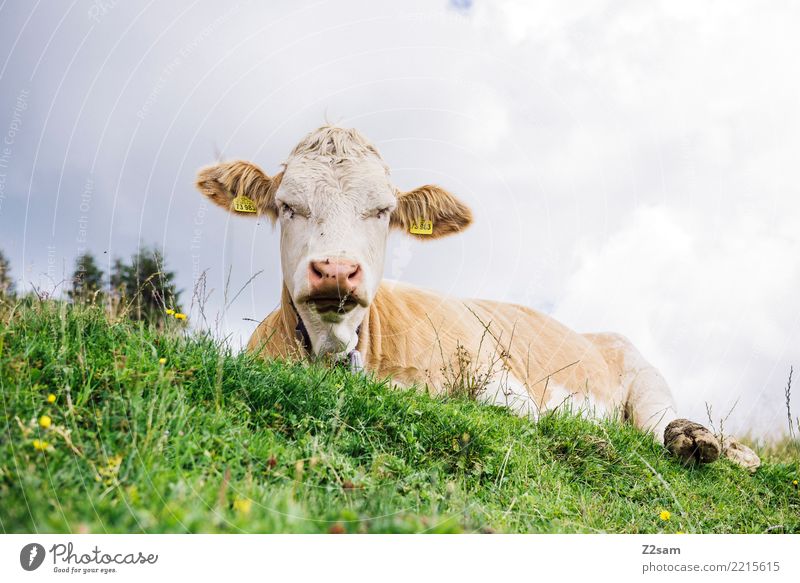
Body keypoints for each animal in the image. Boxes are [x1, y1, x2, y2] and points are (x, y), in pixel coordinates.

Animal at [197, 123, 760, 470]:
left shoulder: (503, 382)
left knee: (658, 426)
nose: (336, 270)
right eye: (288, 206)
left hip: (645, 379)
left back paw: (711, 444)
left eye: (382, 211)